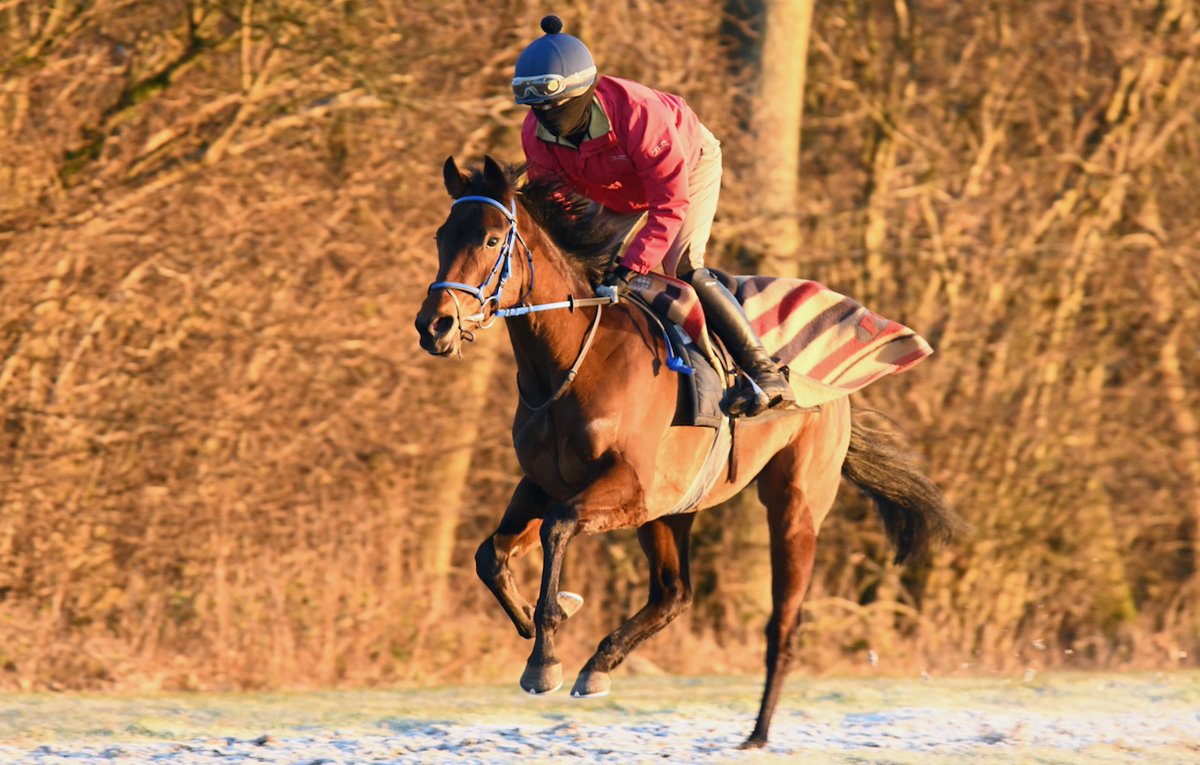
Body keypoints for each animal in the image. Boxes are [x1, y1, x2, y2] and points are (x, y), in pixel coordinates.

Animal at [417, 154, 960, 748]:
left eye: (493, 239)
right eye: (442, 235)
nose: (434, 325)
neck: (575, 363)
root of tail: (832, 392)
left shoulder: (631, 488)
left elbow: (557, 528)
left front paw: (545, 653)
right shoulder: (546, 482)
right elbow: (490, 556)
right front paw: (547, 615)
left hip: (791, 506)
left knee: (782, 624)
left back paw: (757, 735)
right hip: (676, 508)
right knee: (675, 592)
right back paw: (599, 665)